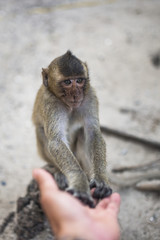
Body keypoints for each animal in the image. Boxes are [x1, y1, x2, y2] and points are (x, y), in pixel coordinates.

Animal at [32, 50, 112, 206]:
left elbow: (93, 133)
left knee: (83, 133)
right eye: (68, 82)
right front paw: (80, 185)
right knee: (41, 132)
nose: (76, 94)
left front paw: (101, 180)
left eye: (79, 80)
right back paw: (58, 171)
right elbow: (56, 141)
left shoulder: (90, 96)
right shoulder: (51, 103)